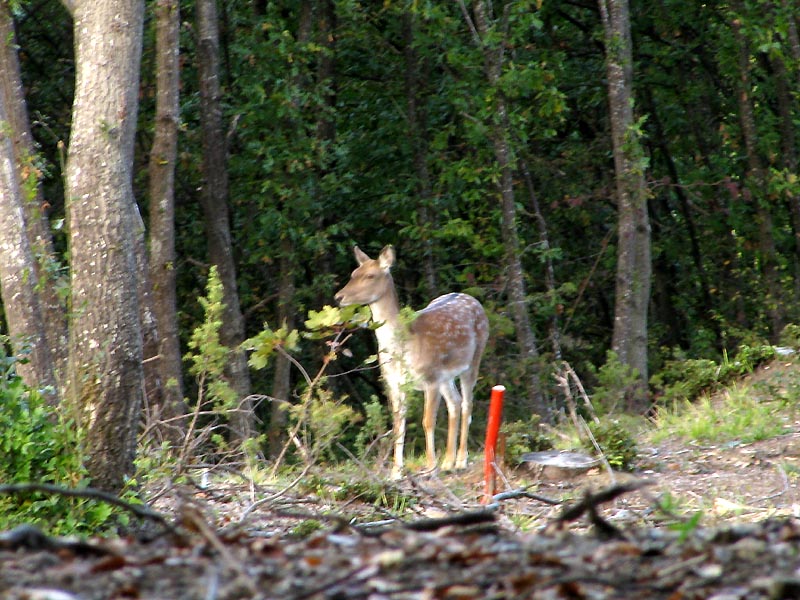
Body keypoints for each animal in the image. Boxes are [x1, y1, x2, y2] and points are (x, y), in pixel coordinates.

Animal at [332, 244, 488, 478]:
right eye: (353, 274)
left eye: (370, 276)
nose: (338, 297)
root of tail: (472, 298)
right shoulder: (394, 382)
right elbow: (398, 425)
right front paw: (396, 472)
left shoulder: (430, 379)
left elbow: (427, 422)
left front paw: (430, 467)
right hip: (445, 375)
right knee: (455, 402)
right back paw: (448, 462)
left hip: (473, 358)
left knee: (467, 404)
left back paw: (460, 460)